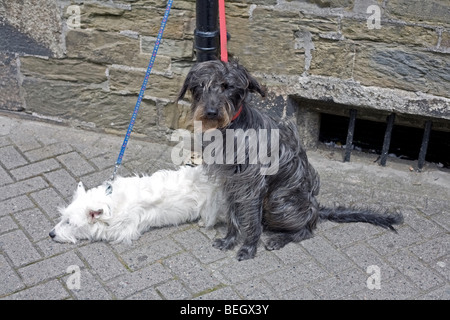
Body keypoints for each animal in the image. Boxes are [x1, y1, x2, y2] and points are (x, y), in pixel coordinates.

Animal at [177, 58, 404, 262]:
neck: (232, 130)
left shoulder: (253, 186)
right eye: (199, 86)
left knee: (307, 229)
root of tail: (316, 208)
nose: (211, 112)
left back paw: (279, 238)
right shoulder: (232, 182)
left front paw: (248, 248)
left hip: (279, 202)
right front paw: (230, 240)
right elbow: (234, 215)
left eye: (227, 86)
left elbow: (252, 222)